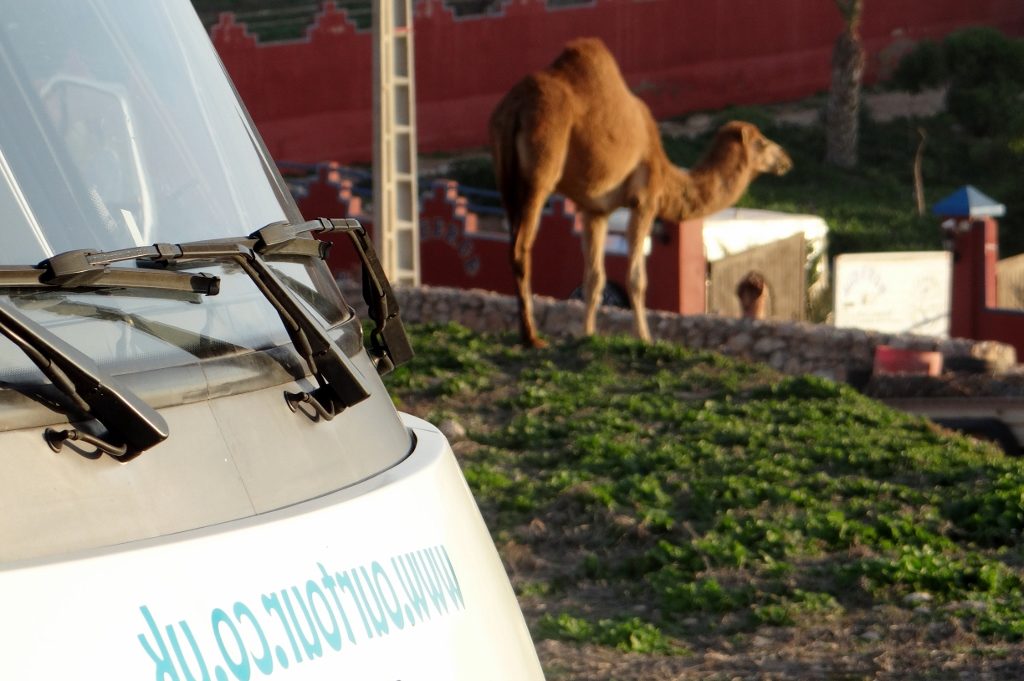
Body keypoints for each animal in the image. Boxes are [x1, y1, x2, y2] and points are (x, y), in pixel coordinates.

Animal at [489, 37, 793, 347]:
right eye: (761, 142)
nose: (785, 158)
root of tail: (516, 108)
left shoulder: (595, 210)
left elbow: (594, 277)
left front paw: (588, 333)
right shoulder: (644, 201)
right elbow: (636, 277)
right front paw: (645, 337)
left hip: (504, 175)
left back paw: (527, 331)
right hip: (540, 169)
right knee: (521, 247)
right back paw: (532, 337)